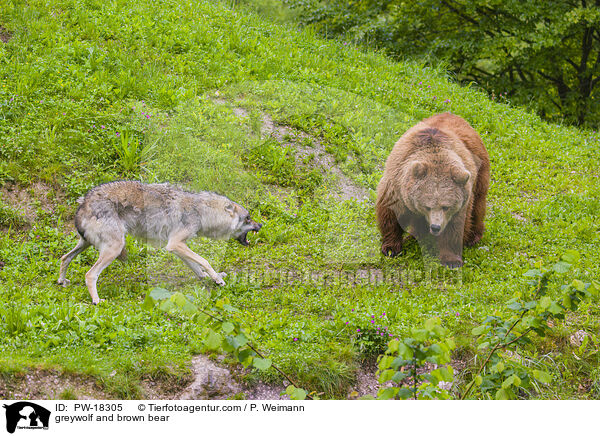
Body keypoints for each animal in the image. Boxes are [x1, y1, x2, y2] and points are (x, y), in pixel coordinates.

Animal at [57, 181, 262, 304]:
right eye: (248, 218)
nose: (261, 224)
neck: (201, 211)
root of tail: (83, 202)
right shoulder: (175, 244)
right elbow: (205, 261)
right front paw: (218, 280)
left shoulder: (177, 247)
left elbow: (197, 267)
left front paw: (210, 277)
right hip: (113, 249)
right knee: (90, 274)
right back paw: (97, 301)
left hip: (86, 244)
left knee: (64, 258)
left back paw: (62, 281)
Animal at [378, 111, 490, 270]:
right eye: (427, 206)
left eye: (446, 207)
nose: (436, 227)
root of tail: (453, 114)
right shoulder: (397, 184)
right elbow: (391, 214)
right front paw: (390, 247)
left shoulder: (460, 204)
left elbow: (454, 227)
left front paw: (451, 260)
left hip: (479, 173)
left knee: (478, 205)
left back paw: (473, 237)